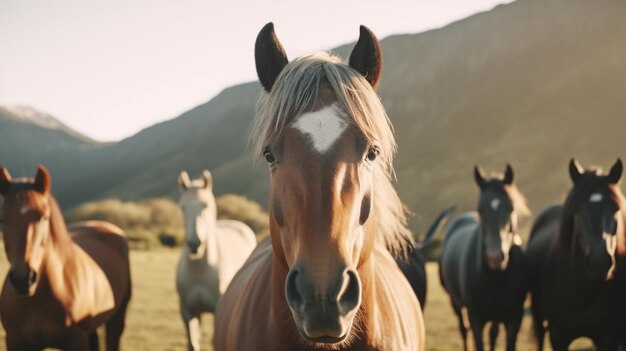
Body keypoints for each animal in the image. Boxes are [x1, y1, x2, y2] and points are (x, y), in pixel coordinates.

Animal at [0, 166, 130, 351]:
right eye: (2, 220)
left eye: (44, 217)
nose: (23, 279)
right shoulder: (15, 342)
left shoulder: (77, 342)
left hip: (117, 319)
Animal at [174, 169, 255, 350]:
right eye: (183, 207)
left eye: (206, 206)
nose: (194, 244)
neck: (200, 270)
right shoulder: (187, 312)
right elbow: (192, 343)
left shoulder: (218, 310)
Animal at [436, 165, 528, 351]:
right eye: (480, 209)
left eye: (511, 208)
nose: (494, 257)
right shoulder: (476, 318)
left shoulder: (515, 317)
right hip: (455, 302)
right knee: (463, 329)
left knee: (492, 334)